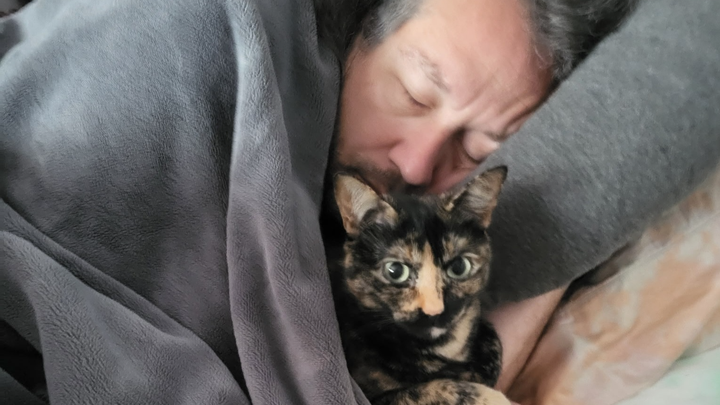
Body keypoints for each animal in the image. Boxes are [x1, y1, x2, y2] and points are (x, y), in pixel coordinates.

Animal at [326, 166, 511, 405]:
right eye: (395, 271)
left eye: (459, 267)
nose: (435, 311)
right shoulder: (373, 397)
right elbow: (435, 388)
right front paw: (492, 396)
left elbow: (493, 341)